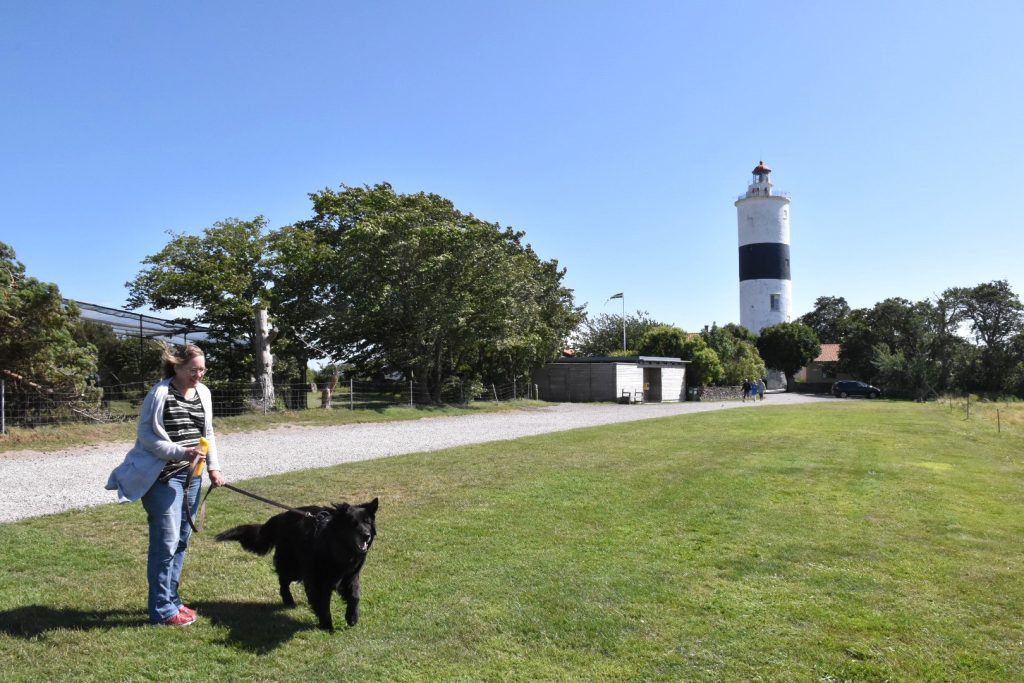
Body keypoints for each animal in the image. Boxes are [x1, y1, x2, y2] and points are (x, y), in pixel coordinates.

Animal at [216, 497, 380, 630]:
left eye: (367, 522)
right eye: (353, 524)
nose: (366, 535)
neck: (337, 547)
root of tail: (280, 516)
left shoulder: (350, 576)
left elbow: (355, 596)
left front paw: (352, 617)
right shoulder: (319, 580)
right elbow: (323, 604)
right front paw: (327, 626)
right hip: (292, 566)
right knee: (283, 580)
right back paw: (288, 600)